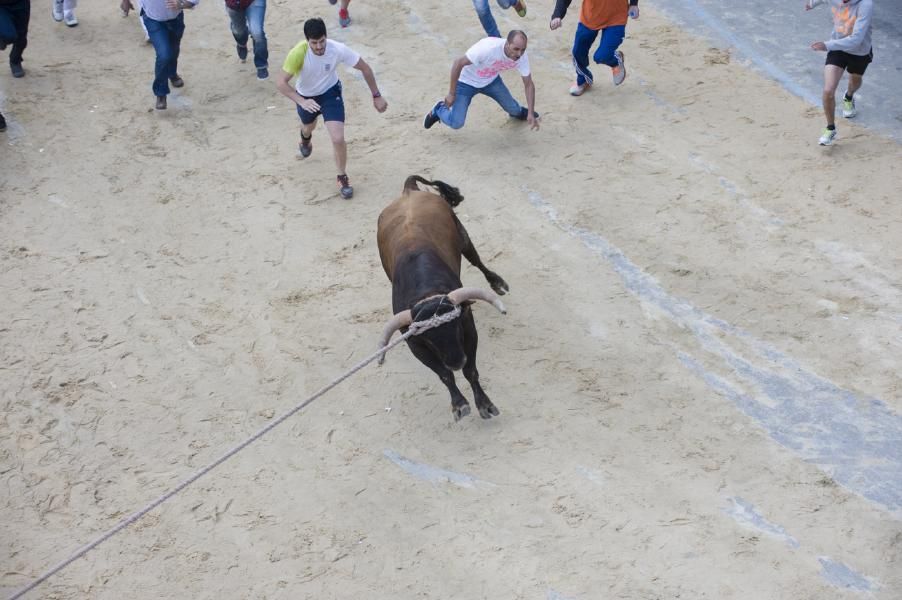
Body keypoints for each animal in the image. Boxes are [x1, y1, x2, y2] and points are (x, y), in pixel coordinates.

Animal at [378, 175, 512, 422]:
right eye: (430, 340)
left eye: (456, 328)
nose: (456, 361)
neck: (427, 292)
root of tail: (408, 191)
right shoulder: (415, 344)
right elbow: (444, 375)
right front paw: (459, 404)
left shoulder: (468, 328)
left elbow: (471, 371)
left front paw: (485, 404)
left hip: (462, 235)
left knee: (476, 259)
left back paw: (497, 283)